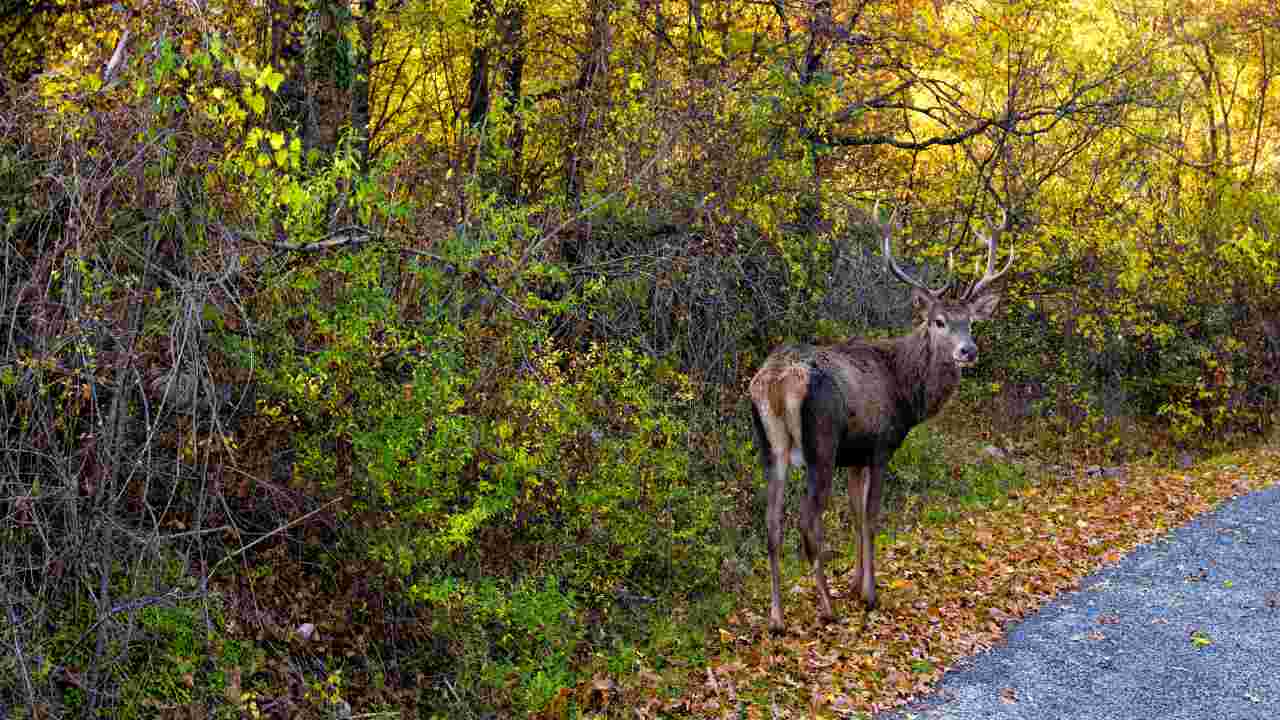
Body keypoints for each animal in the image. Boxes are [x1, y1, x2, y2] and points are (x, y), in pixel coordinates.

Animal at [747, 204, 1008, 630]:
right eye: (938, 321)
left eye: (970, 321)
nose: (968, 351)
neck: (905, 389)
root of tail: (777, 381)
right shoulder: (881, 446)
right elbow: (871, 516)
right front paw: (869, 594)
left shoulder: (854, 456)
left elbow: (855, 514)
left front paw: (856, 584)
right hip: (821, 445)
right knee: (807, 521)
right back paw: (826, 608)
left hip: (771, 447)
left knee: (771, 524)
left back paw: (777, 617)